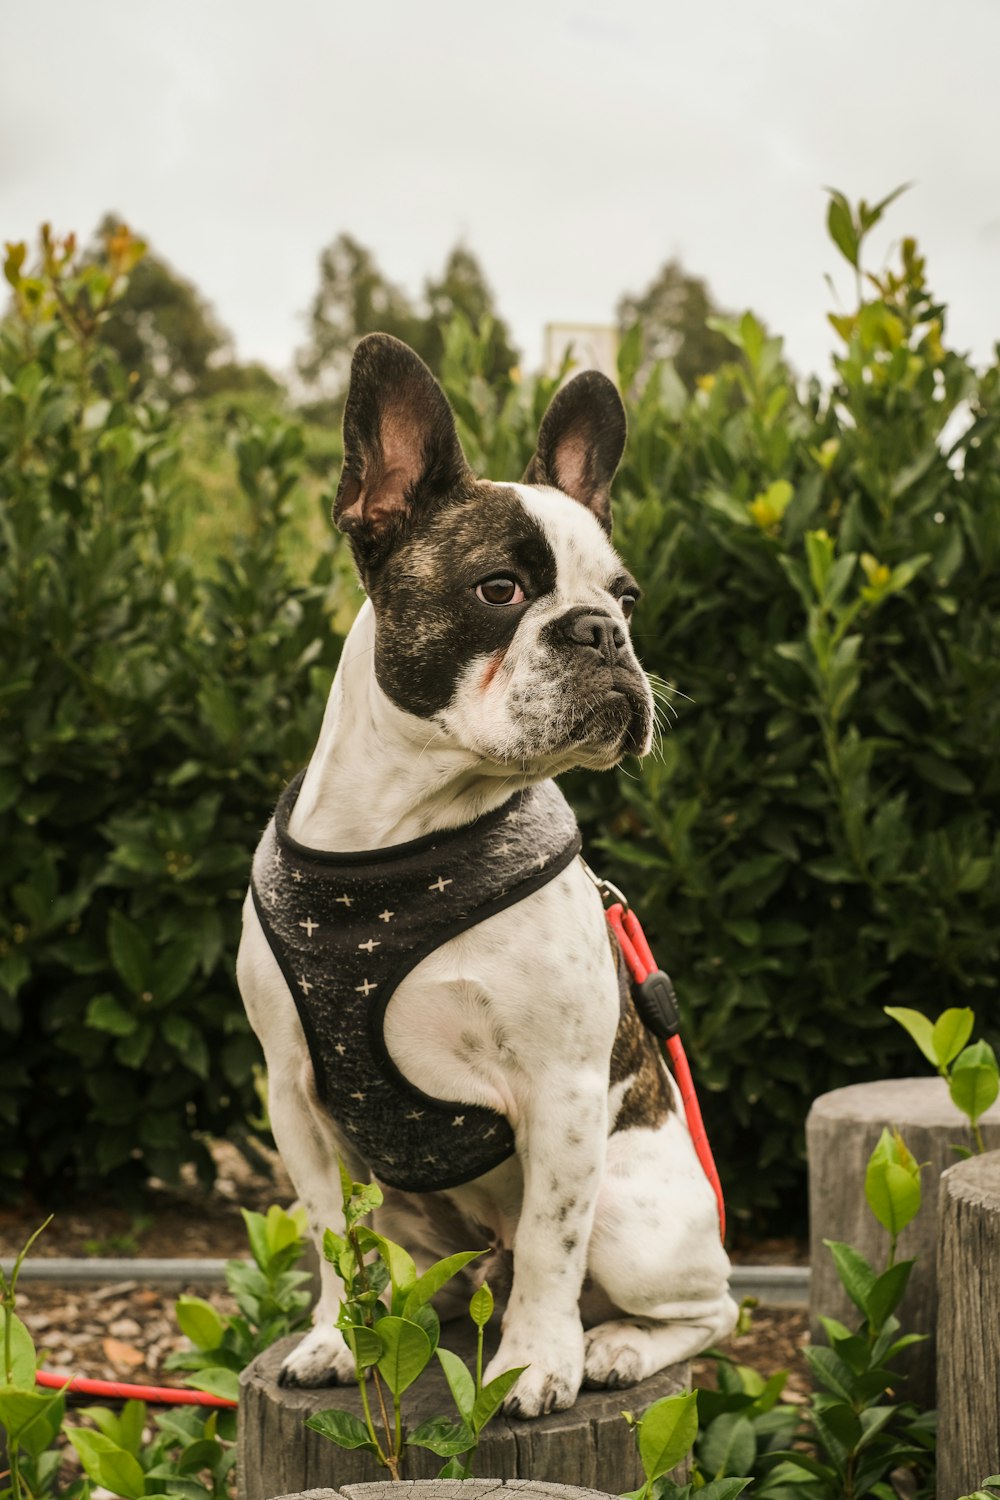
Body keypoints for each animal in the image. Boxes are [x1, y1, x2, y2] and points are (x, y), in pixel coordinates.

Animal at [235, 334, 734, 1422]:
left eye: (625, 598)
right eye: (499, 590)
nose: (600, 631)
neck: (400, 833)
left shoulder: (561, 1093)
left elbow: (552, 1241)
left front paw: (536, 1365)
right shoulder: (293, 1096)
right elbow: (329, 1234)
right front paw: (334, 1339)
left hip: (634, 1216)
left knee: (707, 1309)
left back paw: (611, 1348)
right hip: (425, 1222)